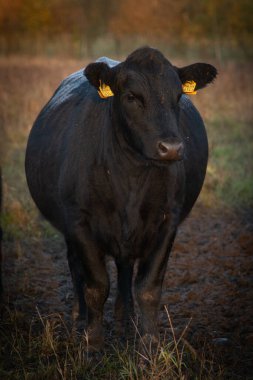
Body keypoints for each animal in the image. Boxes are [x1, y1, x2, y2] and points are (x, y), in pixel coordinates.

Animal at [24, 47, 216, 350]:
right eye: (131, 96)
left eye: (178, 96)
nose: (172, 148)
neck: (130, 181)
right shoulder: (79, 222)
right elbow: (96, 285)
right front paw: (92, 342)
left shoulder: (167, 221)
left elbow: (148, 287)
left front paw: (149, 343)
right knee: (75, 266)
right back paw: (80, 316)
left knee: (125, 268)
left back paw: (125, 319)